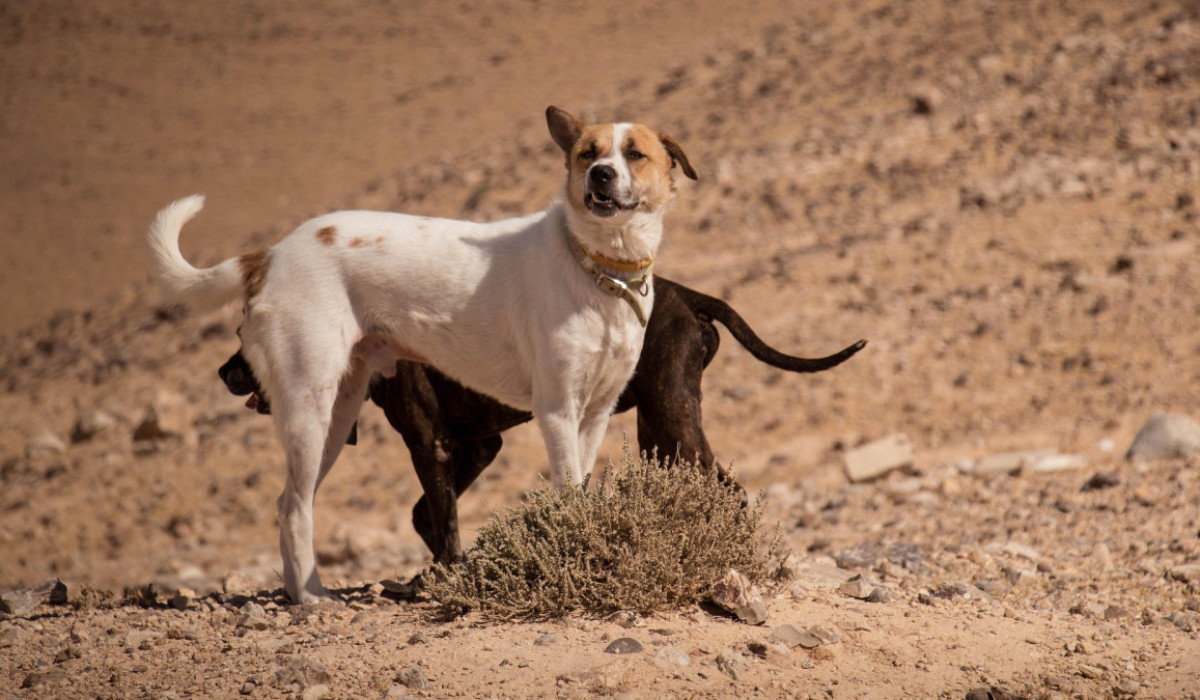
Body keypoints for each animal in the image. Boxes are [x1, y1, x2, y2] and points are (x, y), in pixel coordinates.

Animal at [148, 107, 697, 603]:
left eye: (634, 154)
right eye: (588, 153)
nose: (600, 174)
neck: (599, 268)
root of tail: (272, 253)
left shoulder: (596, 413)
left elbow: (582, 489)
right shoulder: (557, 410)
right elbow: (566, 493)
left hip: (338, 414)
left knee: (288, 499)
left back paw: (301, 591)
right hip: (309, 405)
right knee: (294, 506)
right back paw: (311, 599)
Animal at [220, 277, 866, 564]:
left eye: (252, 336)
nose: (225, 372)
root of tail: (684, 292)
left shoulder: (431, 443)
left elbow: (440, 513)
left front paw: (447, 574)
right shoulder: (476, 446)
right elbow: (428, 512)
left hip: (669, 417)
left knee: (728, 488)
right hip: (657, 429)